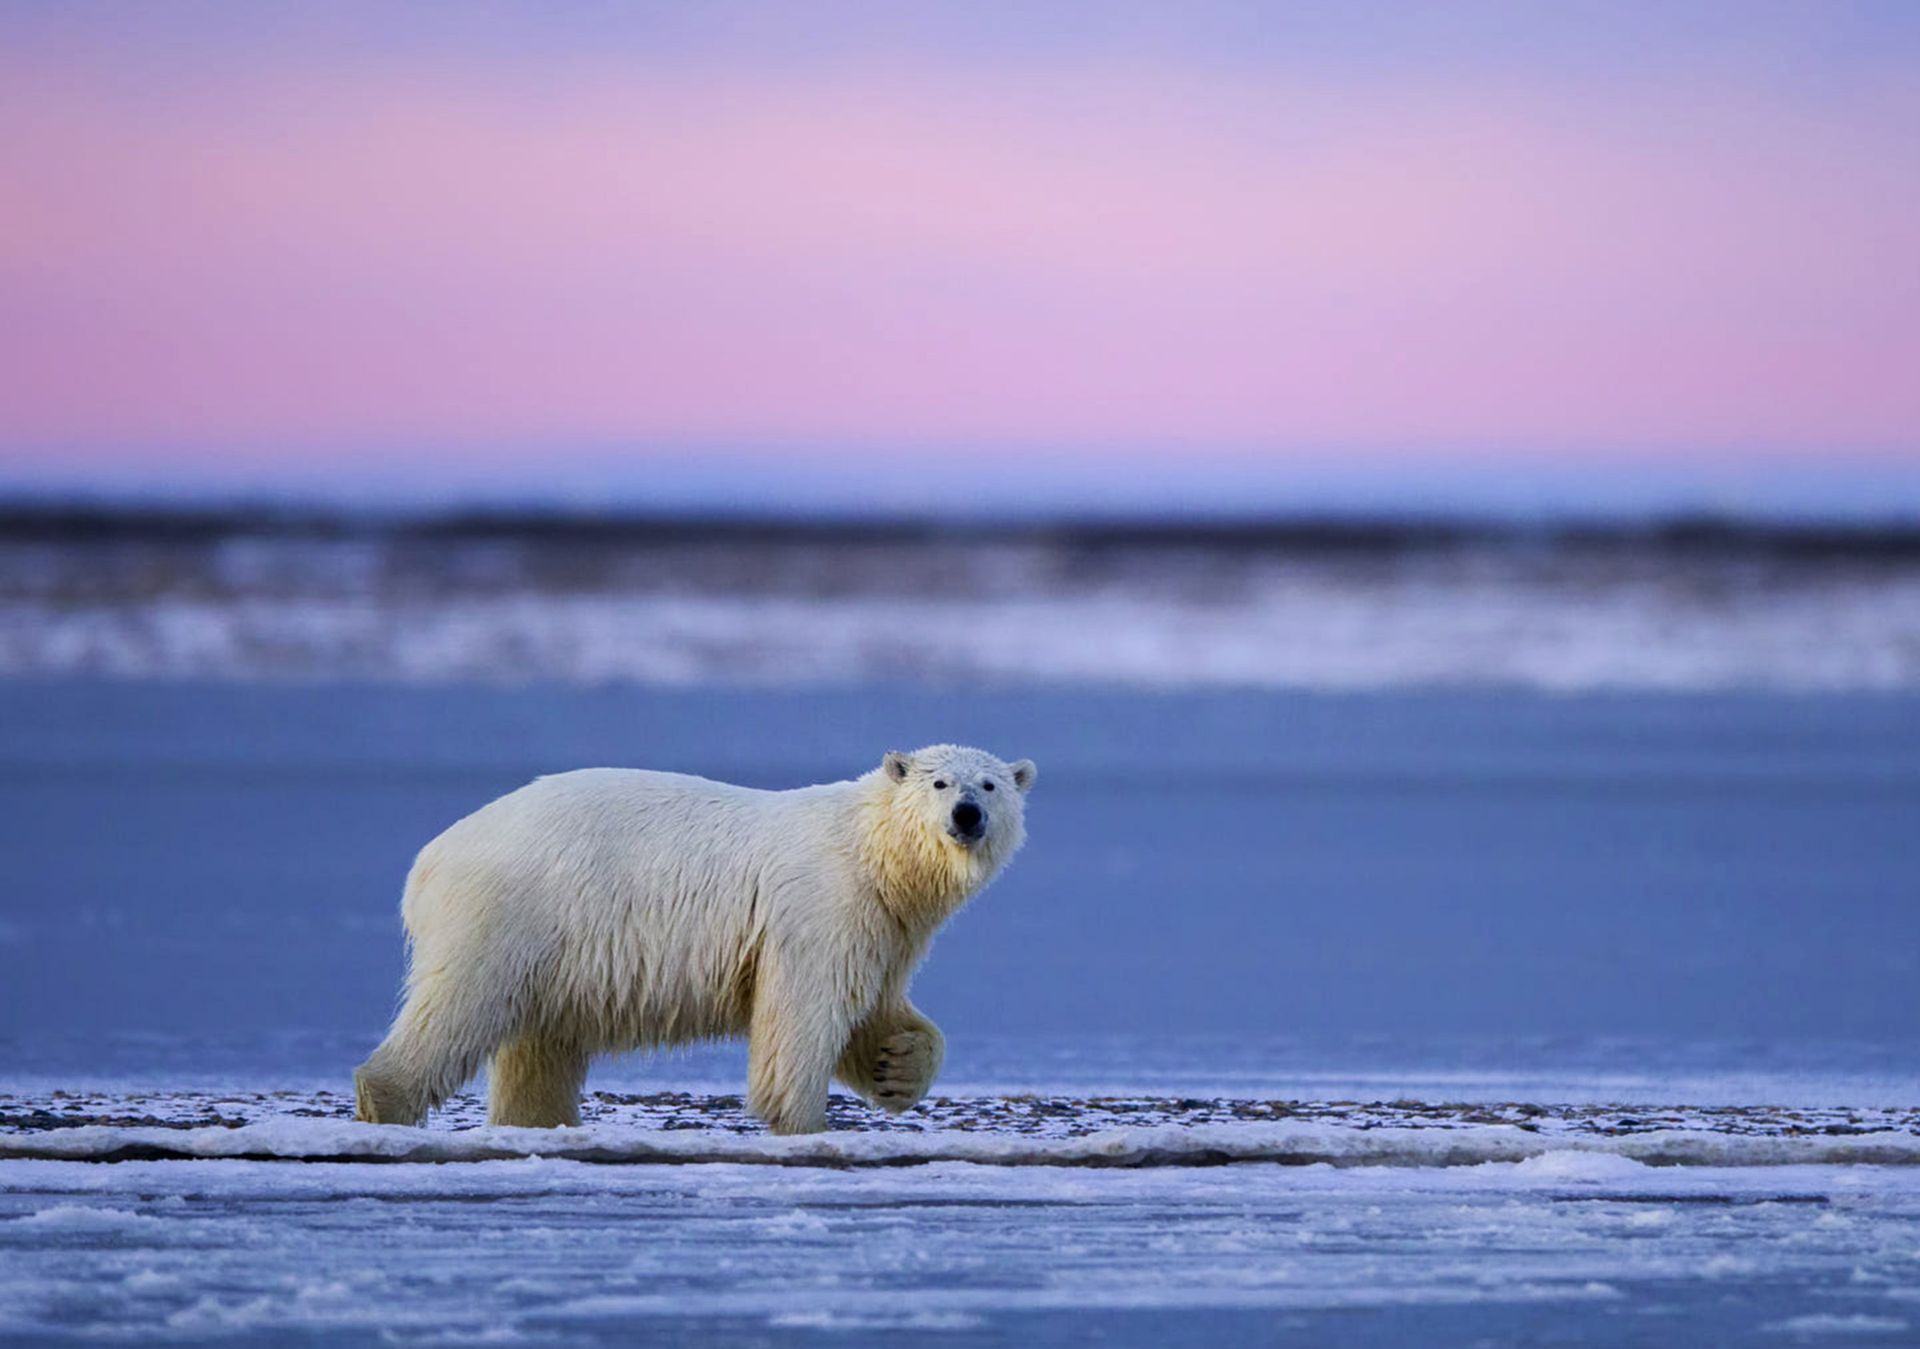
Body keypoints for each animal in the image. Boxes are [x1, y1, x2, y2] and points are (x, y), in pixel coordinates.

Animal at [353, 744, 1035, 1135]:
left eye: (990, 785)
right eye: (941, 784)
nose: (967, 815)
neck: (873, 852)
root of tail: (429, 860)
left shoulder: (885, 927)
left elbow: (874, 1007)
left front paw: (897, 1067)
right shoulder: (821, 903)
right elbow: (805, 1010)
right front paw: (806, 1122)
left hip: (552, 945)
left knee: (537, 1044)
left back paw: (539, 1123)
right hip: (511, 911)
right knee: (460, 1007)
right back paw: (383, 1099)